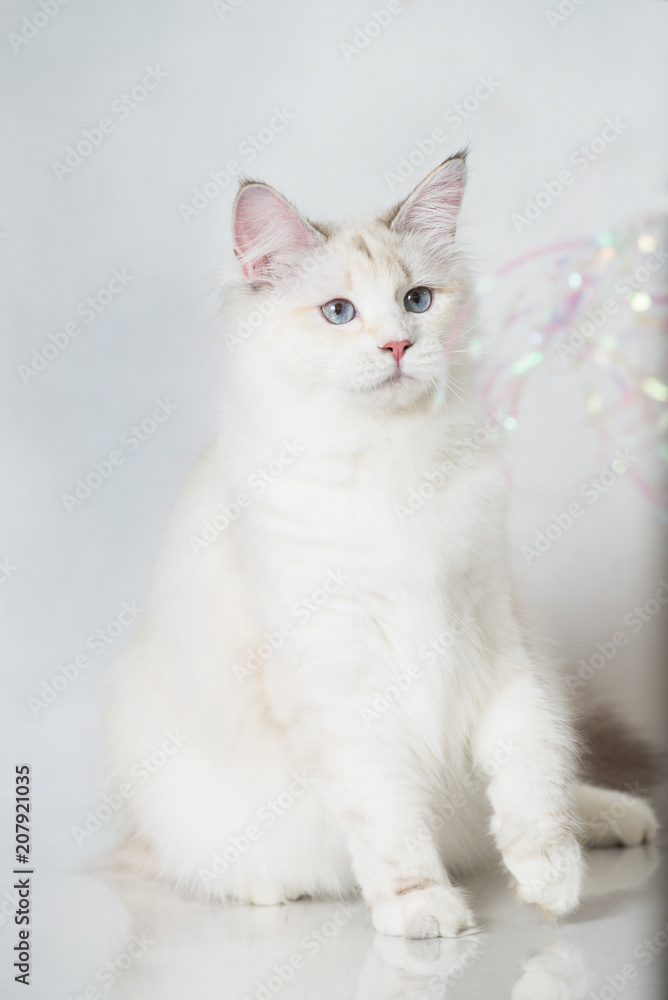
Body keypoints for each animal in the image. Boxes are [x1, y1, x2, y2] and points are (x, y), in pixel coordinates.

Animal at [102, 152, 660, 940]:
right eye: (340, 312)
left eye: (417, 300)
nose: (397, 345)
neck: (393, 459)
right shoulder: (340, 678)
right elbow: (391, 817)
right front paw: (423, 911)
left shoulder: (492, 634)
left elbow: (528, 769)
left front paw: (550, 877)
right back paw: (273, 889)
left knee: (536, 794)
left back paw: (615, 821)